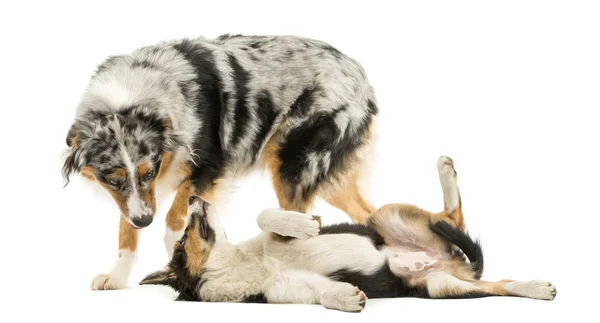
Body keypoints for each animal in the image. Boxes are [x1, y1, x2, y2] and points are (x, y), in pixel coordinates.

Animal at [63, 35, 378, 292]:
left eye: (149, 171)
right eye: (112, 180)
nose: (145, 222)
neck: (132, 98)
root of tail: (359, 72)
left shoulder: (207, 170)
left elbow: (174, 215)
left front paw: (176, 248)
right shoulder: (136, 196)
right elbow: (125, 227)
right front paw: (117, 275)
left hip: (294, 166)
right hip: (330, 181)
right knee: (369, 213)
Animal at [141, 158, 556, 314]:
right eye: (182, 242)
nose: (194, 197)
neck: (242, 264)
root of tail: (447, 262)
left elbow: (266, 216)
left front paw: (302, 224)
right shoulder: (292, 292)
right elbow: (324, 294)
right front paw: (345, 296)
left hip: (385, 216)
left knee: (452, 215)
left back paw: (446, 171)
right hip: (444, 287)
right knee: (500, 284)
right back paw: (536, 288)